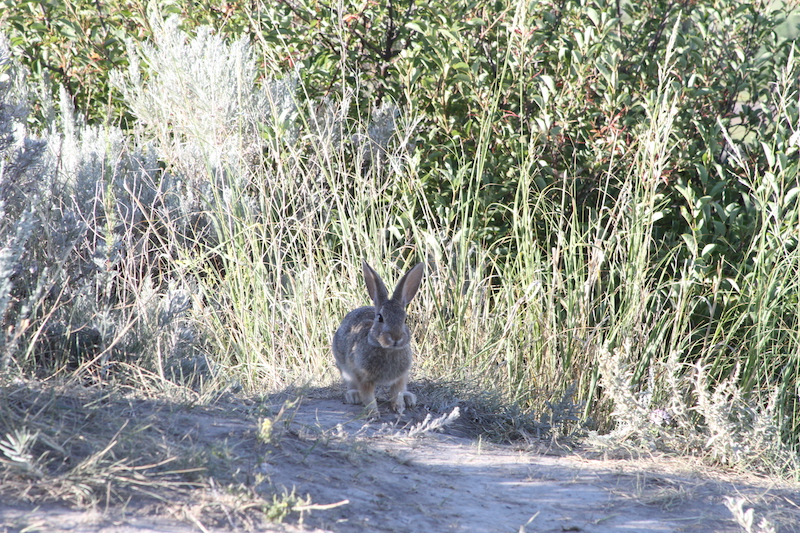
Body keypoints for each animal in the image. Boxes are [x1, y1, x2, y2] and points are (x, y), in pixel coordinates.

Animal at [332, 260, 424, 416]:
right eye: (380, 318)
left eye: (404, 319)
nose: (396, 337)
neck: (388, 350)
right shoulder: (363, 377)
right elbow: (368, 396)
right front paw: (373, 413)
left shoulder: (401, 377)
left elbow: (397, 392)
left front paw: (398, 407)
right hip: (343, 367)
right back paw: (354, 396)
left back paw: (408, 398)